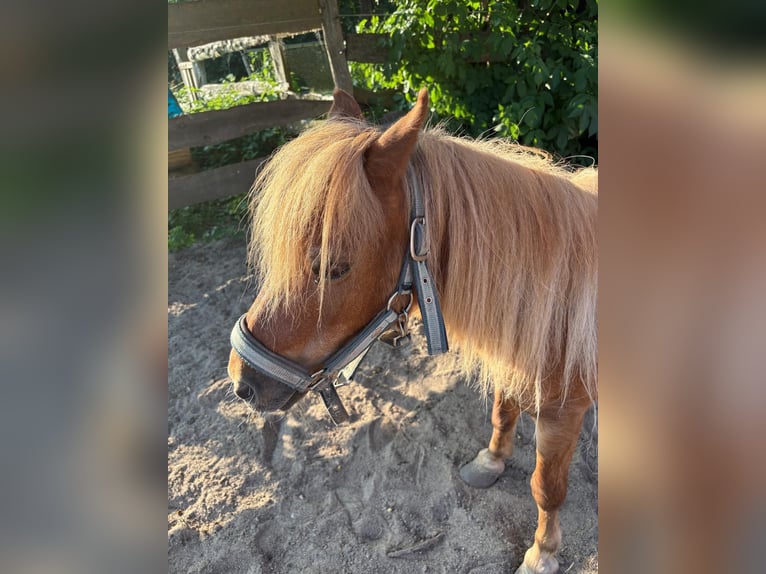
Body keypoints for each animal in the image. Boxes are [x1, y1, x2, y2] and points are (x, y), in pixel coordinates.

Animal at [227, 88, 597, 574]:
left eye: (334, 268)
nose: (242, 383)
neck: (556, 293)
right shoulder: (511, 358)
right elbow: (503, 414)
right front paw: (491, 461)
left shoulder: (563, 410)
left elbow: (546, 485)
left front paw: (542, 553)